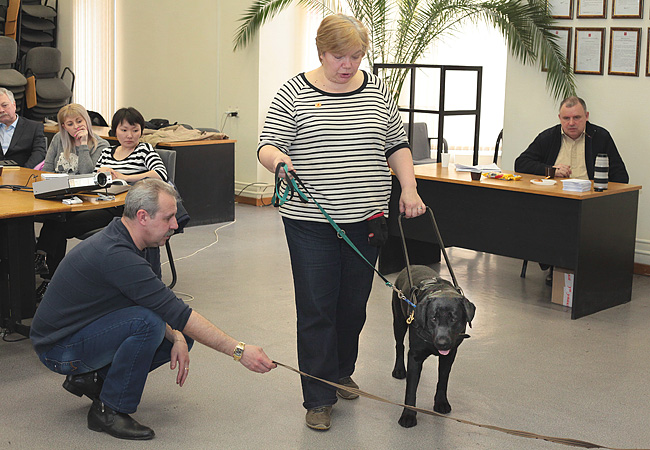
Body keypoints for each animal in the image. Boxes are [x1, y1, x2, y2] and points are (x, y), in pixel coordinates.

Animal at [390, 268, 476, 428]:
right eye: (433, 318)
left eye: (453, 319)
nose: (442, 343)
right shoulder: (415, 356)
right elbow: (411, 389)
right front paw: (408, 415)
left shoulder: (449, 355)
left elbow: (443, 380)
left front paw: (441, 402)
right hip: (398, 320)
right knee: (399, 345)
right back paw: (399, 369)